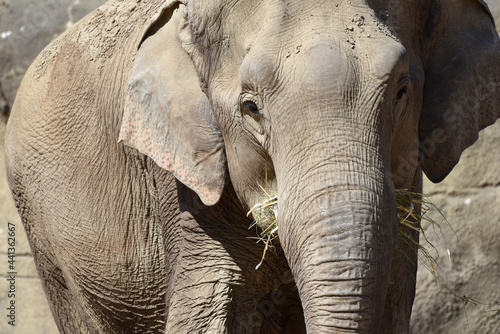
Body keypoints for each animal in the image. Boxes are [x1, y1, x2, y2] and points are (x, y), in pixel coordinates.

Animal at [4, 0, 500, 332]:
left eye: (401, 90)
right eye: (250, 107)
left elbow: (392, 297)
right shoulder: (183, 175)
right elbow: (210, 303)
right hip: (44, 233)